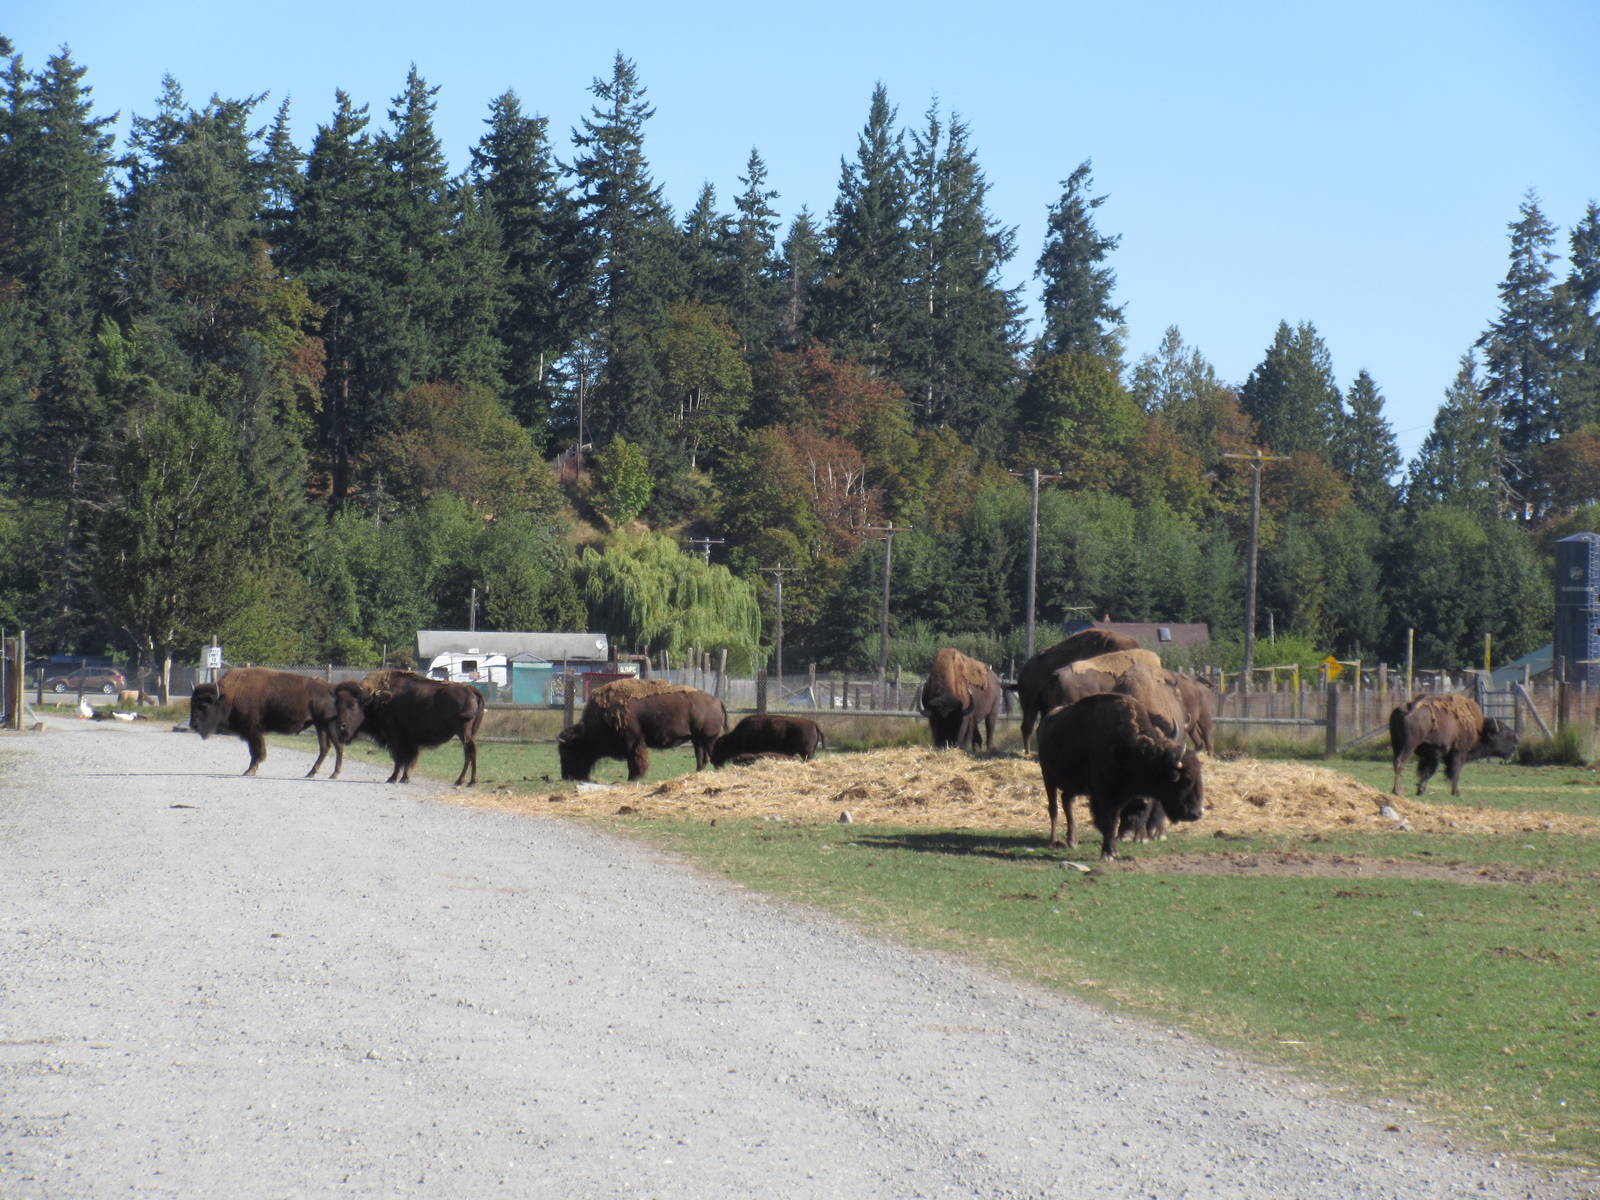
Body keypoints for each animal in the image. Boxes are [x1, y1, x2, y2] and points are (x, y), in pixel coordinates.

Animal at [189, 667, 344, 778]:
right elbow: (254, 751)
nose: (193, 725)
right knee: (325, 748)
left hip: (329, 726)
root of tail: (331, 689)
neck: (229, 694)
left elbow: (257, 752)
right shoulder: (252, 733)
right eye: (192, 703)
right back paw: (310, 773)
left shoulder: (253, 732)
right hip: (320, 726)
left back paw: (334, 774)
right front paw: (250, 770)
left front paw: (250, 771)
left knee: (338, 747)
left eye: (204, 705)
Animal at [333, 670, 485, 785]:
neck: (376, 699)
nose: (341, 726)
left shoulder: (395, 737)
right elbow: (409, 758)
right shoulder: (409, 740)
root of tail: (472, 689)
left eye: (353, 705)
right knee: (469, 751)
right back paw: (467, 780)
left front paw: (393, 778)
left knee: (469, 750)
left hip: (463, 730)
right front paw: (405, 778)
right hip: (470, 731)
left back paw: (465, 781)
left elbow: (399, 758)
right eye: (337, 704)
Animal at [558, 679, 725, 782]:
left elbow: (635, 759)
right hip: (698, 740)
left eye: (569, 751)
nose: (566, 776)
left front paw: (634, 777)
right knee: (701, 758)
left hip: (708, 740)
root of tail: (717, 700)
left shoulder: (633, 741)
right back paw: (697, 773)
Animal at [1035, 692, 1204, 860]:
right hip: (1048, 779)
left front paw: (1113, 851)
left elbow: (1115, 820)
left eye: (1199, 777)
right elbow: (1108, 821)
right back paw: (1053, 842)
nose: (1196, 813)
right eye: (1186, 780)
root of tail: (1045, 724)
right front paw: (1108, 854)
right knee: (1054, 809)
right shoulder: (1103, 795)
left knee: (1066, 802)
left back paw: (1072, 841)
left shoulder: (1120, 797)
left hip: (1072, 785)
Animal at [1389, 692, 1518, 796]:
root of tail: (1405, 709)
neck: (1479, 729)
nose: (1516, 741)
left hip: (1396, 744)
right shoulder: (1458, 753)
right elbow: (1455, 772)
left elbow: (1428, 771)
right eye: (1504, 733)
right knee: (1400, 762)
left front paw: (1420, 790)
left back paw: (1396, 790)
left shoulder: (1433, 755)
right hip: (1409, 745)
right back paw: (1398, 791)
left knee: (1396, 762)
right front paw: (1457, 793)